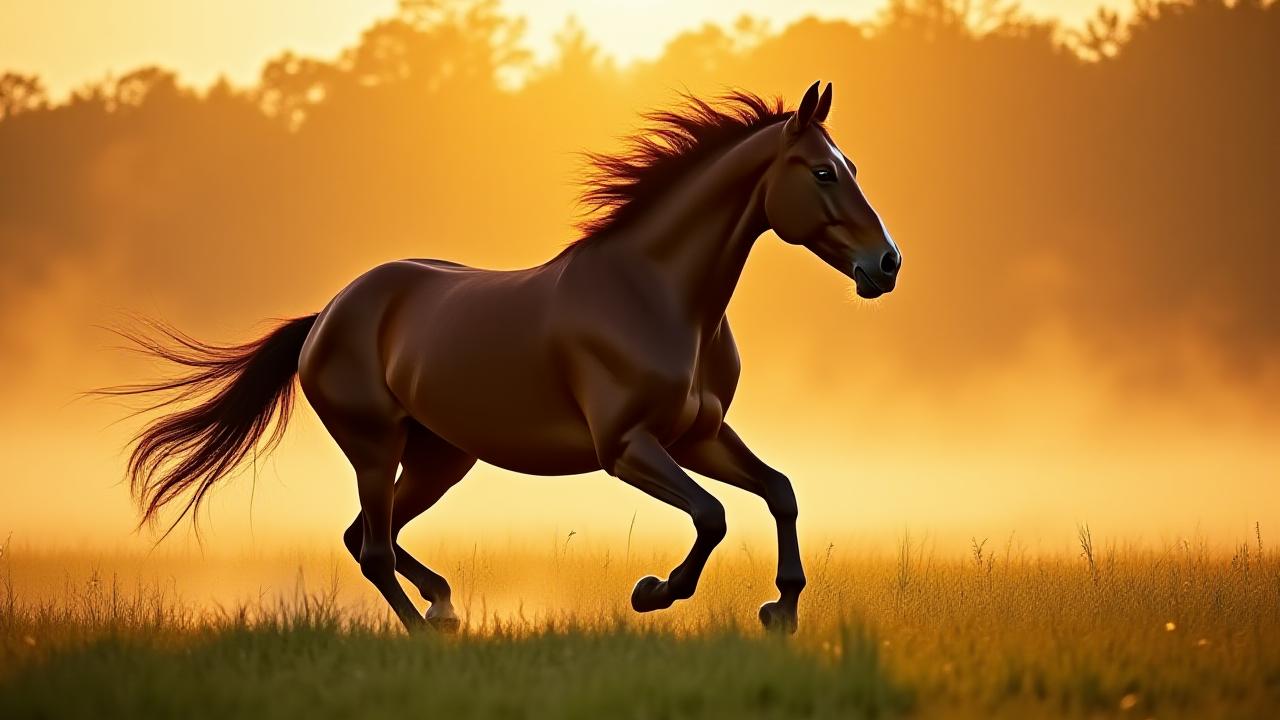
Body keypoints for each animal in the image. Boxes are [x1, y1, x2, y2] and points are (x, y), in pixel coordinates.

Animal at [105, 81, 901, 634]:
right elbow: (712, 515)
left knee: (368, 535)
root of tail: (328, 314)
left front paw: (782, 611)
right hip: (375, 447)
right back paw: (427, 630)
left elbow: (779, 492)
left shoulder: (698, 435)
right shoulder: (628, 447)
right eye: (823, 173)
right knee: (373, 547)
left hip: (441, 457)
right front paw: (654, 592)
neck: (660, 296)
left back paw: (443, 605)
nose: (886, 264)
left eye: (855, 165)